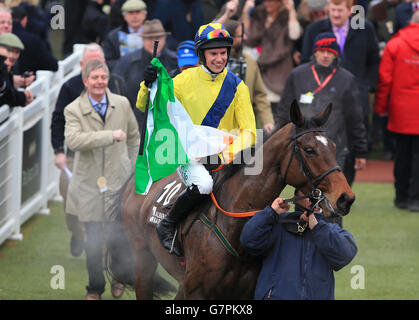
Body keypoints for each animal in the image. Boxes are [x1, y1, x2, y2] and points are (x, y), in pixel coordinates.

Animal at [106, 100, 356, 300]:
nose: (346, 198)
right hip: (142, 257)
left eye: (334, 147)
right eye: (309, 149)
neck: (235, 227)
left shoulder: (246, 291)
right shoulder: (197, 292)